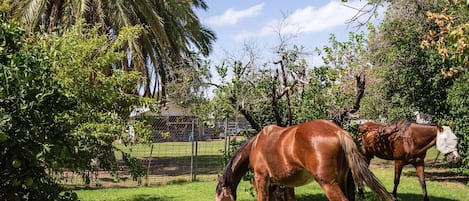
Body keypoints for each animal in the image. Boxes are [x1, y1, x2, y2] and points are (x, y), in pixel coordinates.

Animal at [216, 120, 392, 200]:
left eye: (221, 196)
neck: (256, 145)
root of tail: (338, 131)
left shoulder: (261, 180)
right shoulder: (281, 185)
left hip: (328, 183)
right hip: (341, 179)